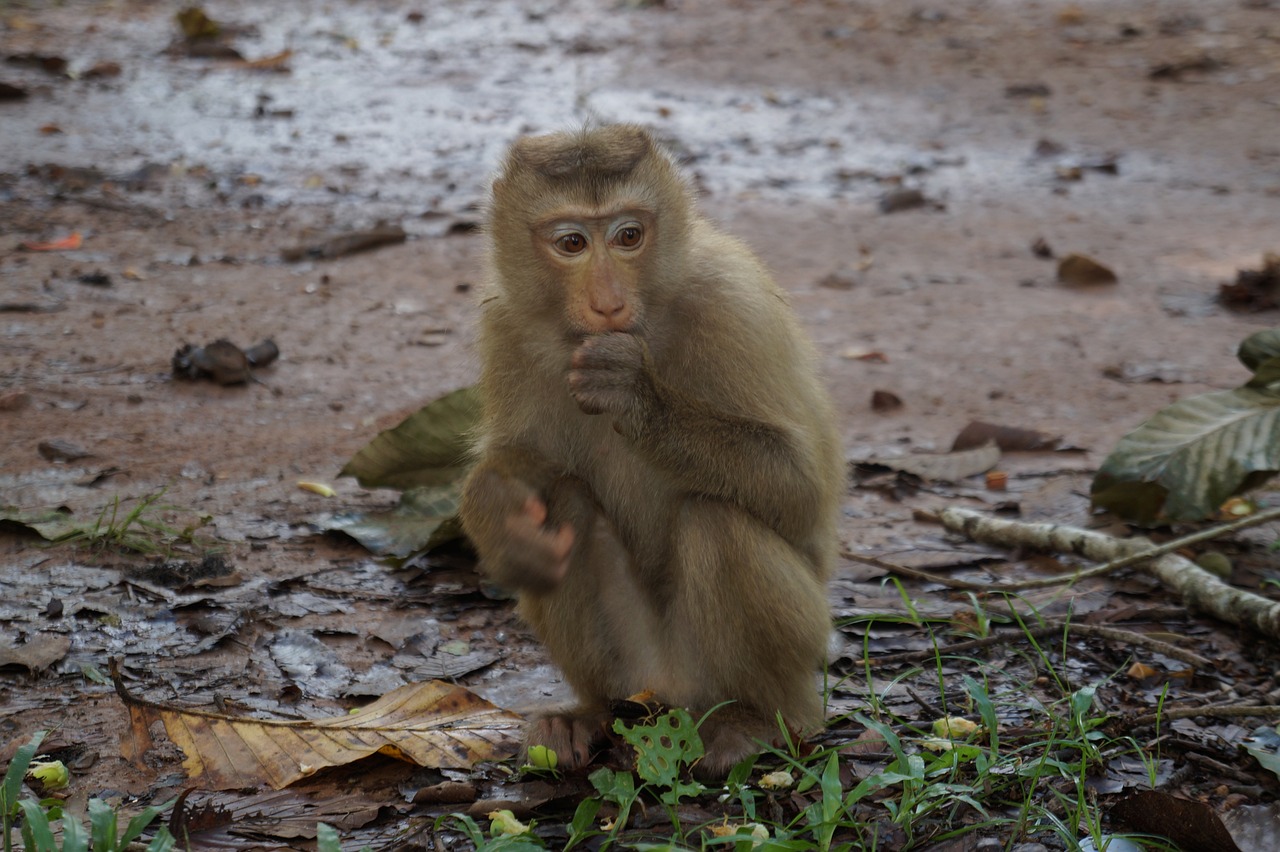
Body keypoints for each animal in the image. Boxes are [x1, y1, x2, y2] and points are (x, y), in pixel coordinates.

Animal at [455, 120, 844, 777]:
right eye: (572, 243)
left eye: (629, 236)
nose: (608, 302)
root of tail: (669, 693)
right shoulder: (505, 324)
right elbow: (524, 462)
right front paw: (499, 517)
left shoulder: (733, 305)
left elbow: (800, 487)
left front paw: (638, 397)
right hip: (635, 665)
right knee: (567, 506)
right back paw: (587, 716)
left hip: (780, 651)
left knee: (717, 521)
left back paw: (759, 723)